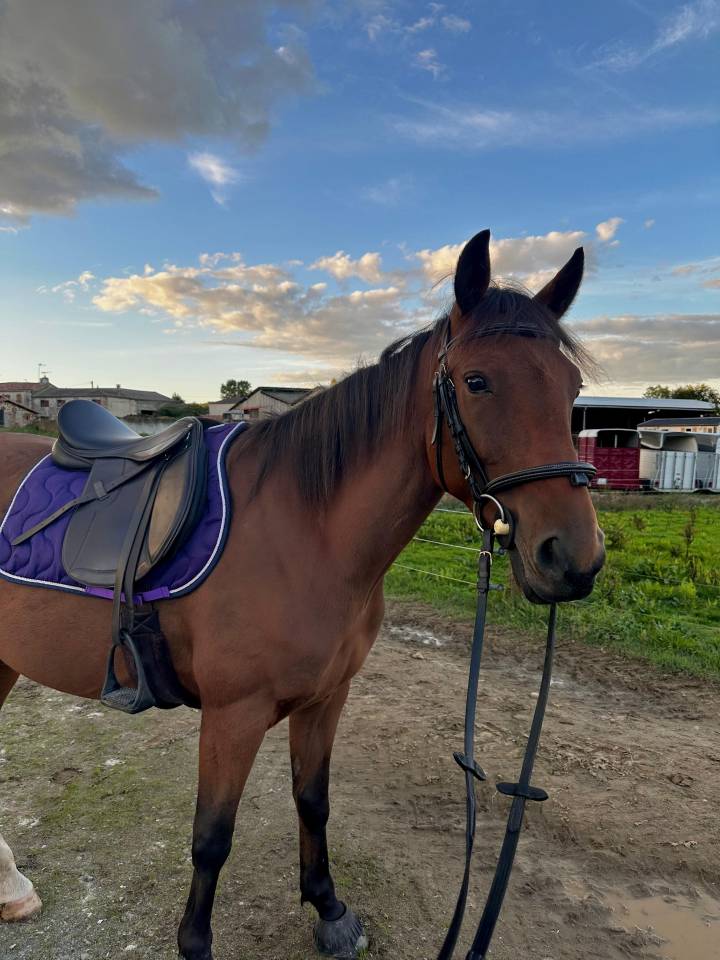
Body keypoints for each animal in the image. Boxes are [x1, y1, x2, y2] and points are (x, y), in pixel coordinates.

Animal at [0, 229, 605, 959]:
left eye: (572, 388)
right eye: (477, 381)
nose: (572, 559)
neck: (304, 533)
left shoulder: (326, 698)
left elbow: (313, 802)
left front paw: (328, 907)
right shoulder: (232, 715)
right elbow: (211, 837)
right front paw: (196, 943)